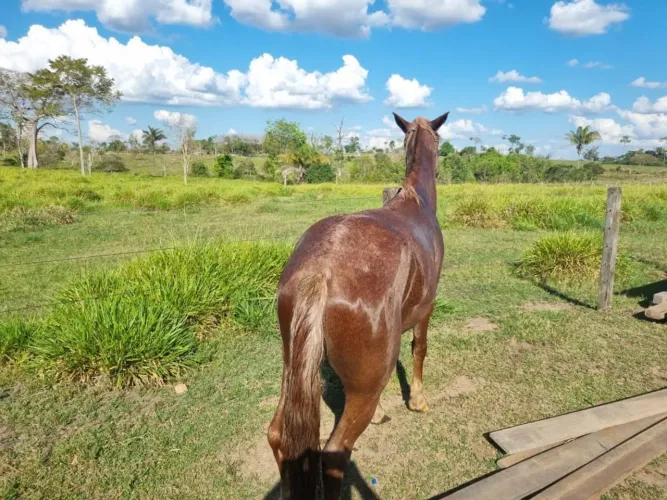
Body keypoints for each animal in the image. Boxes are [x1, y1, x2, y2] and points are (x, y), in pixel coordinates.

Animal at [268, 112, 448, 499]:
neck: (417, 204)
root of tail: (320, 269)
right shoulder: (426, 308)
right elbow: (419, 349)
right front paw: (417, 400)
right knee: (336, 454)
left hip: (291, 367)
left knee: (278, 436)